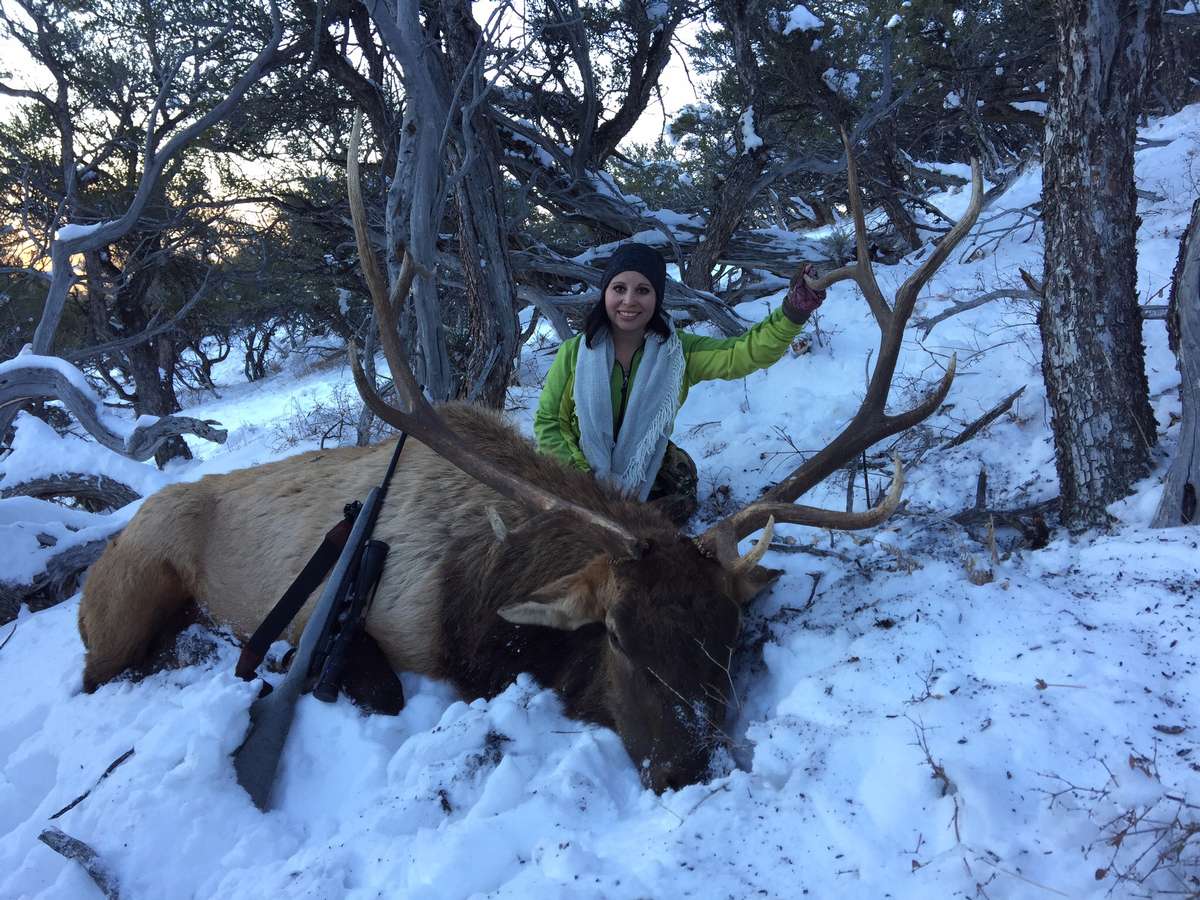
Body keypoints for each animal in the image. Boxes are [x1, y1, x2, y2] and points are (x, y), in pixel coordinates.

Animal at [75, 116, 979, 792]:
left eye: (727, 637)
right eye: (615, 635)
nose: (684, 770)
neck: (477, 595)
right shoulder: (353, 627)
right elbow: (375, 684)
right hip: (125, 600)